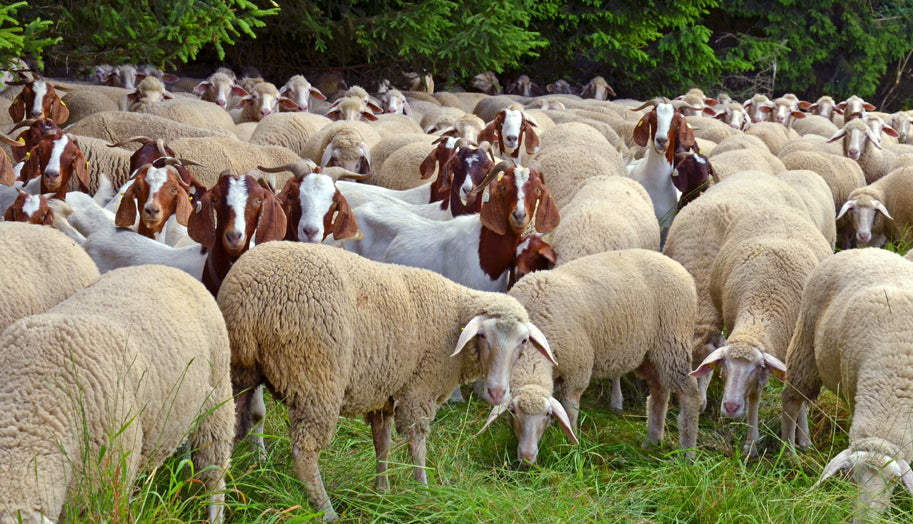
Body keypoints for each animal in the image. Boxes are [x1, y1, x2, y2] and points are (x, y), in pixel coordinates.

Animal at [217, 240, 557, 520]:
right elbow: (417, 444)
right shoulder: (419, 391)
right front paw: (424, 491)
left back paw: (230, 487)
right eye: (483, 336)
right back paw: (326, 510)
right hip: (315, 378)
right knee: (305, 451)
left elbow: (383, 443)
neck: (455, 316)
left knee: (230, 428)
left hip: (239, 371)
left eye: (523, 342)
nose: (498, 392)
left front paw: (381, 490)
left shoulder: (384, 391)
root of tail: (249, 300)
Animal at [481, 249, 700, 463]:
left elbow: (570, 409)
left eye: (547, 414)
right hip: (649, 353)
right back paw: (652, 441)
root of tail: (680, 269)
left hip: (672, 342)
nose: (527, 458)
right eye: (513, 412)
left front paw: (570, 445)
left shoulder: (578, 369)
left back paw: (687, 453)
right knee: (659, 390)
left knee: (689, 393)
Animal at [690, 208, 832, 455]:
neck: (760, 311)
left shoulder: (795, 349)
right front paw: (751, 442)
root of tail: (775, 208)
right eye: (724, 365)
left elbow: (797, 395)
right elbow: (755, 397)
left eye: (756, 366)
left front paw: (803, 439)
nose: (730, 407)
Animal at [781, 249, 913, 521]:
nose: (866, 522)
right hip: (806, 340)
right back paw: (789, 453)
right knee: (792, 400)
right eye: (852, 475)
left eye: (895, 480)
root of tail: (866, 250)